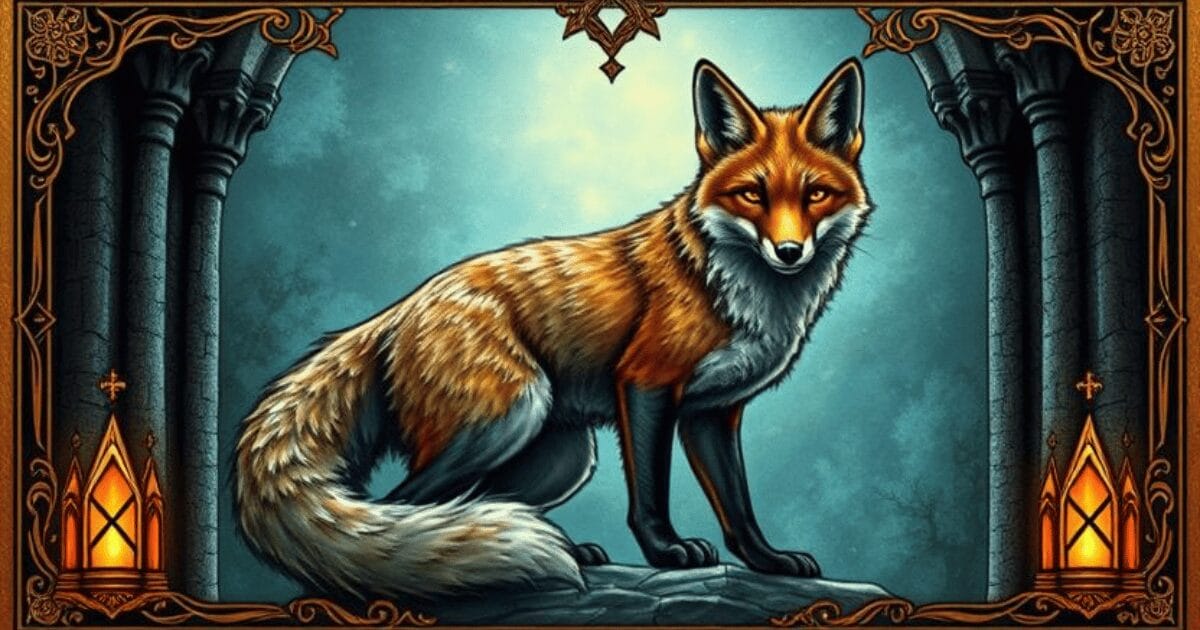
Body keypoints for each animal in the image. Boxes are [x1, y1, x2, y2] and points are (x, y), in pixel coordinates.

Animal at [234, 58, 870, 600]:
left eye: (815, 194)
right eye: (751, 194)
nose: (789, 253)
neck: (736, 290)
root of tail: (399, 308)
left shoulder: (712, 412)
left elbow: (738, 506)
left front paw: (767, 561)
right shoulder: (646, 383)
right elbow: (651, 492)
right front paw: (665, 552)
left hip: (560, 457)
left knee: (462, 505)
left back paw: (548, 549)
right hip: (505, 419)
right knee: (403, 504)